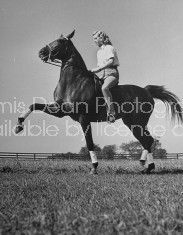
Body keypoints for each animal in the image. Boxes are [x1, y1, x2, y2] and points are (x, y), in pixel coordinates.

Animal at [14, 30, 183, 174]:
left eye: (61, 42)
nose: (41, 52)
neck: (73, 81)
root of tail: (146, 90)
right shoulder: (60, 110)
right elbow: (34, 105)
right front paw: (18, 126)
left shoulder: (83, 118)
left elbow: (89, 143)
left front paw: (94, 168)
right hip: (132, 122)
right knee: (147, 140)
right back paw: (146, 167)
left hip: (137, 122)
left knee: (147, 140)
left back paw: (145, 165)